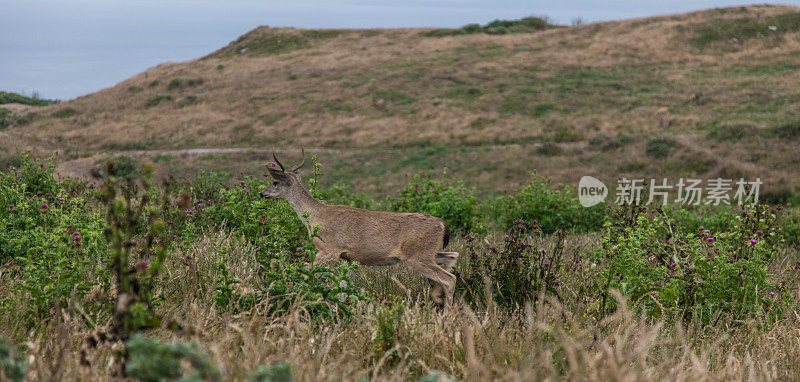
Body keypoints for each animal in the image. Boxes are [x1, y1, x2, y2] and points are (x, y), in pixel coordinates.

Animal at [256, 149, 456, 308]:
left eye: (275, 182)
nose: (262, 193)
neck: (315, 217)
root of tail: (441, 223)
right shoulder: (348, 258)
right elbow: (342, 286)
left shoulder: (329, 249)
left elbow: (304, 270)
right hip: (427, 252)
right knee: (453, 257)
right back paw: (437, 297)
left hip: (417, 256)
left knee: (449, 278)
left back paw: (447, 313)